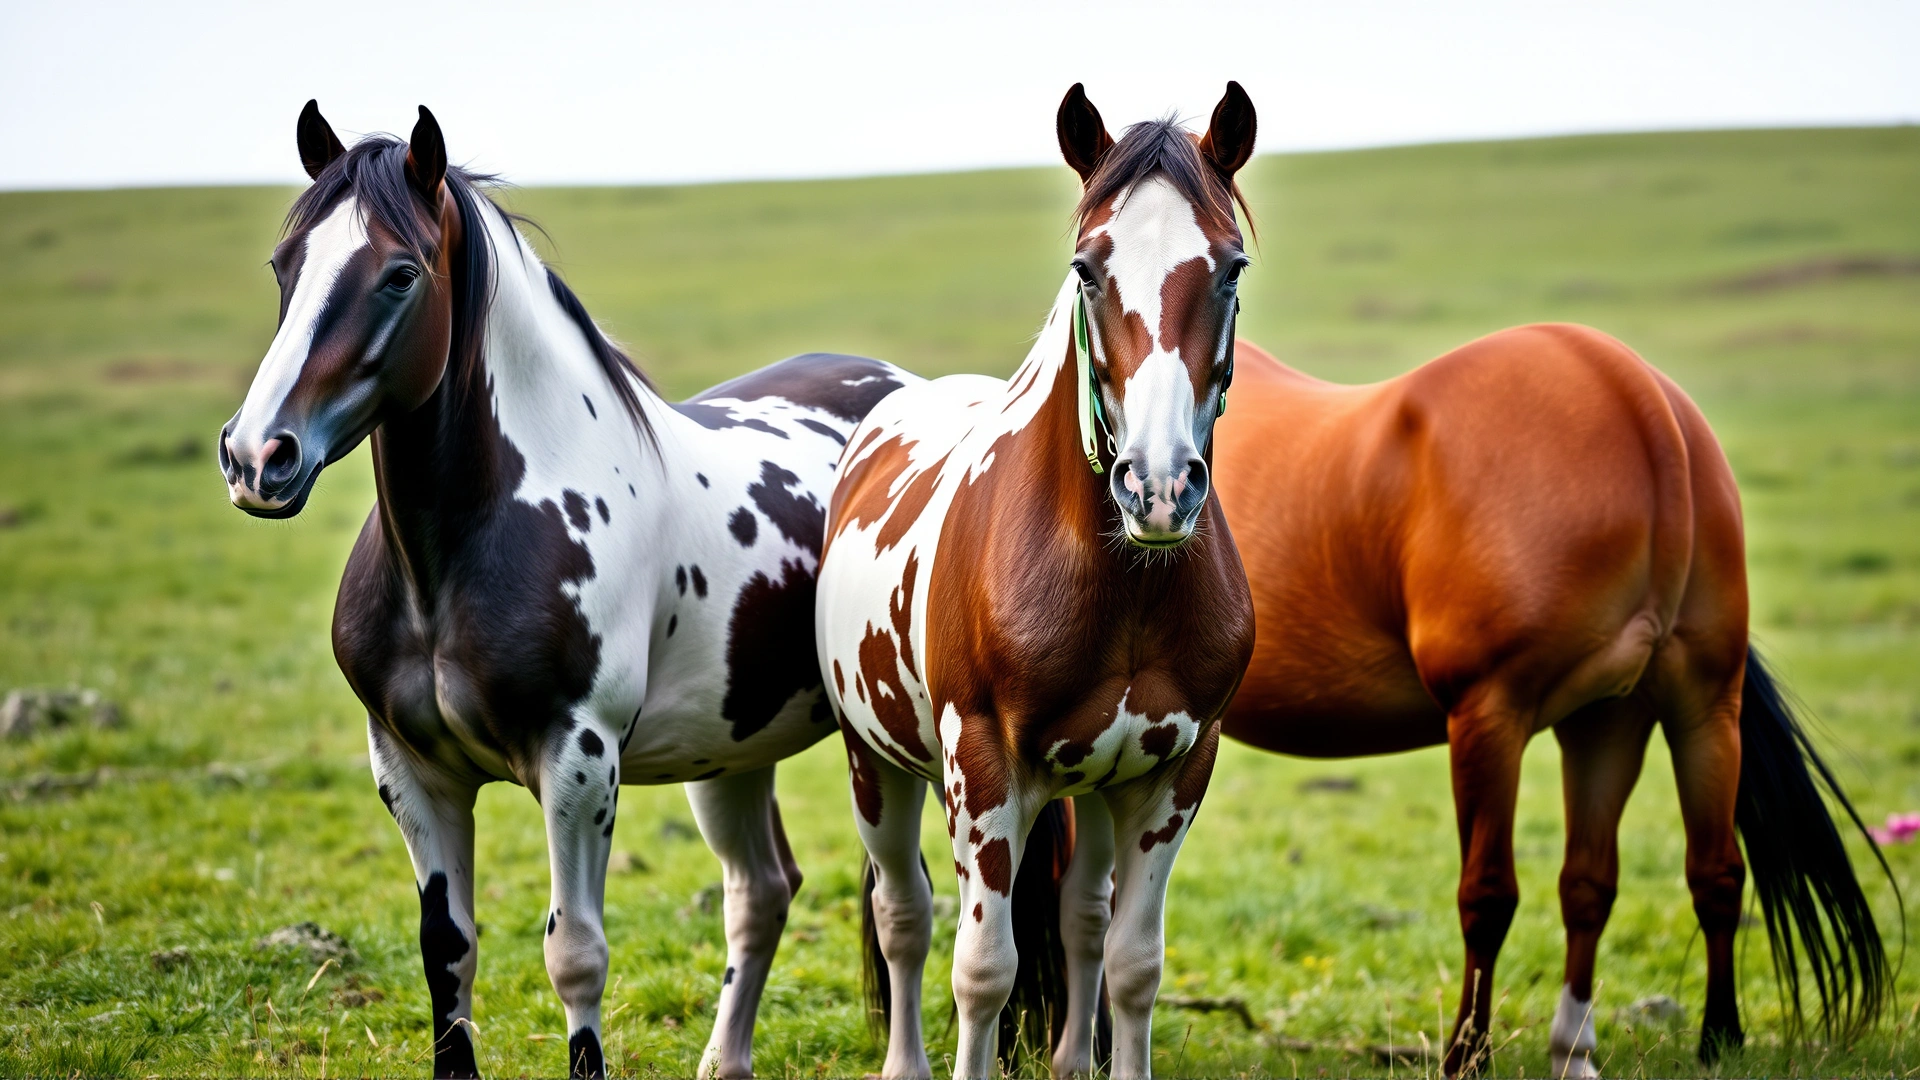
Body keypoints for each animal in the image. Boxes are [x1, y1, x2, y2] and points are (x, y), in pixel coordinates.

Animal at [218, 102, 909, 1080]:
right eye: (285, 265)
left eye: (399, 274)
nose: (257, 456)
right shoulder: (412, 771)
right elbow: (448, 952)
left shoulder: (579, 759)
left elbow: (575, 953)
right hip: (735, 749)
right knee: (763, 891)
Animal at [816, 83, 1259, 1079]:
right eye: (1088, 268)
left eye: (1231, 269)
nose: (1158, 486)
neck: (1121, 588)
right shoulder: (982, 772)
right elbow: (983, 969)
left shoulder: (1172, 774)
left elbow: (1130, 961)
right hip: (878, 766)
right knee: (903, 917)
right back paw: (904, 1062)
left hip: (1090, 788)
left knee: (1082, 921)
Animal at [1210, 329, 1893, 1075]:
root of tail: (1644, 402)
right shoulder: (1492, 714)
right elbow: (1489, 895)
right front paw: (1468, 1054)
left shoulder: (1614, 718)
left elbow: (1599, 884)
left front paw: (1588, 1049)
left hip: (1700, 713)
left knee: (1711, 873)